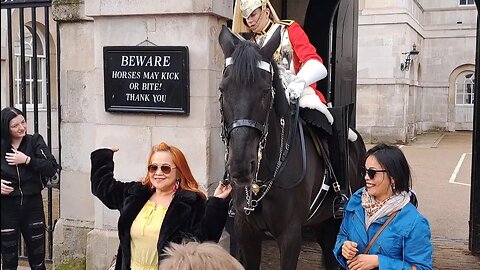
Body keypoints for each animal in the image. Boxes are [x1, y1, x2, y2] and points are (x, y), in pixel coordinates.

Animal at [219, 25, 366, 270]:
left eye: (265, 91)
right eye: (223, 89)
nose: (241, 167)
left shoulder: (290, 236)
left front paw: (295, 88)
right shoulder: (246, 230)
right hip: (324, 224)